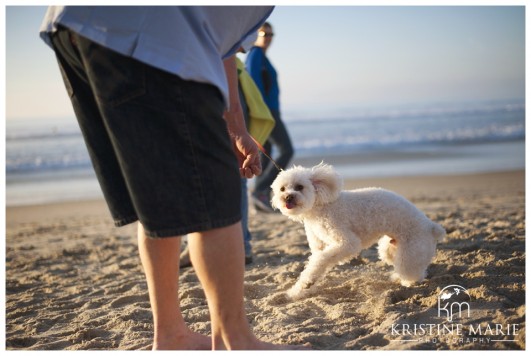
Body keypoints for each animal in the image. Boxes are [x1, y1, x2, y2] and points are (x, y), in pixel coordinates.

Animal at [272, 163, 446, 298]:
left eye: (299, 187)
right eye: (282, 189)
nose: (288, 197)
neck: (320, 206)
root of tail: (431, 226)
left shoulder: (346, 242)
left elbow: (320, 260)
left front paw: (305, 284)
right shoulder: (318, 245)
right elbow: (315, 263)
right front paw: (301, 289)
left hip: (411, 251)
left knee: (414, 274)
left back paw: (407, 282)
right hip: (389, 248)